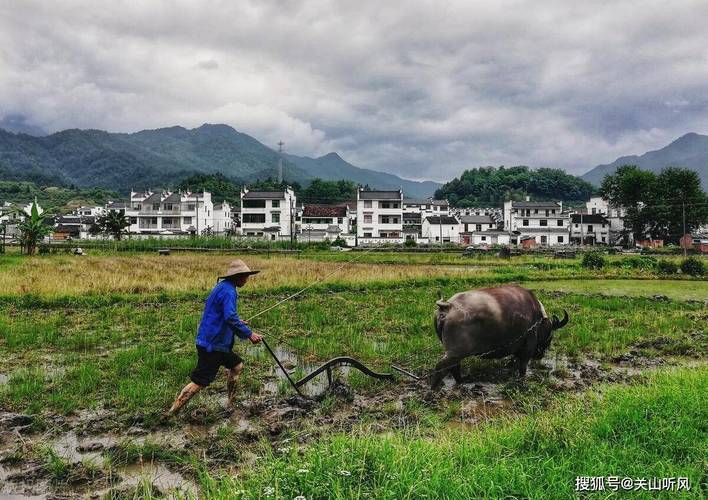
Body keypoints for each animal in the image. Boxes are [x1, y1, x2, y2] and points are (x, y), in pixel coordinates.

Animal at [428, 284, 568, 388]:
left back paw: (461, 381)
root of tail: (448, 306)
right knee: (442, 366)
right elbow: (522, 366)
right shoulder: (528, 347)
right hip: (456, 352)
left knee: (454, 366)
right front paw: (522, 380)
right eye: (550, 336)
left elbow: (514, 359)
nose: (541, 355)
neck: (537, 320)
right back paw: (434, 388)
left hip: (454, 353)